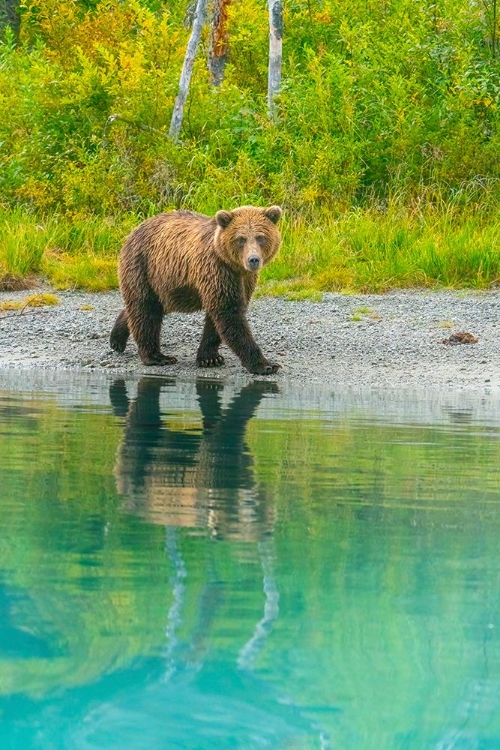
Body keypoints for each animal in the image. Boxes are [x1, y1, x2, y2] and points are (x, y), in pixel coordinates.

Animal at [110, 206, 282, 376]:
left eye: (260, 237)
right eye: (241, 239)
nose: (253, 260)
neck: (235, 266)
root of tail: (133, 231)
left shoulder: (243, 280)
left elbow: (218, 318)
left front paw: (210, 358)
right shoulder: (217, 270)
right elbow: (229, 313)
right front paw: (265, 365)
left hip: (165, 285)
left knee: (146, 307)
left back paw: (116, 340)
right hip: (144, 267)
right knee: (146, 309)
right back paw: (156, 356)